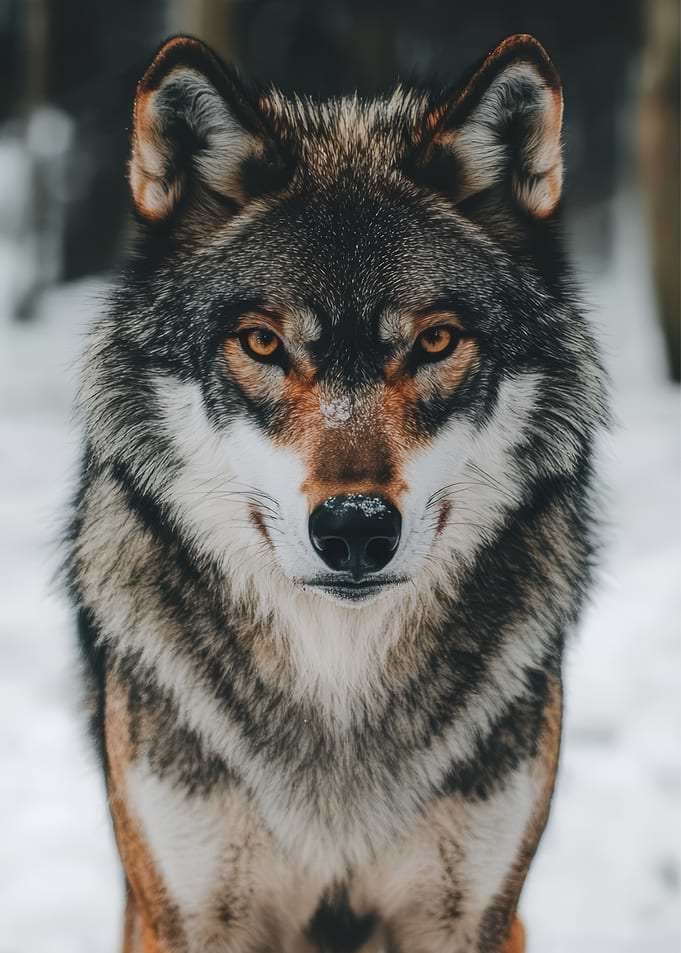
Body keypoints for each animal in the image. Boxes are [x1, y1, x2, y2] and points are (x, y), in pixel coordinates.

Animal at [65, 31, 607, 953]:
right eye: (261, 342)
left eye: (435, 341)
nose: (355, 528)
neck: (338, 687)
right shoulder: (188, 912)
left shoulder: (466, 914)